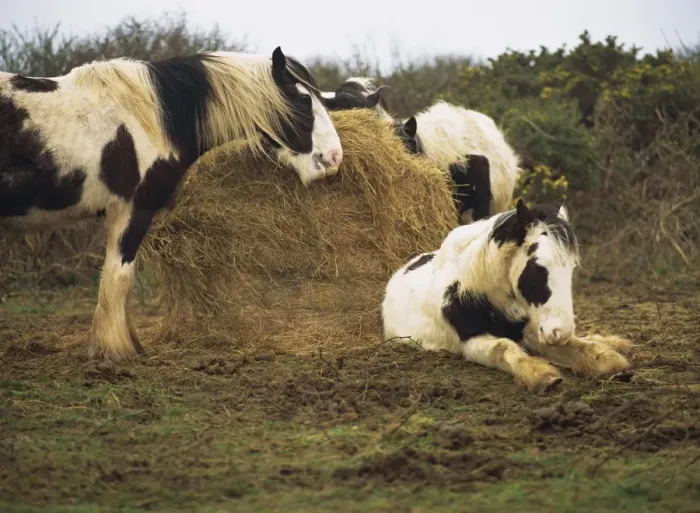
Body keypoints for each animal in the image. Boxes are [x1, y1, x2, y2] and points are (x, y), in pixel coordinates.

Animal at [0, 46, 343, 362]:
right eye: (304, 101)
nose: (334, 158)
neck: (149, 118)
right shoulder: (132, 209)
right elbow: (118, 276)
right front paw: (115, 350)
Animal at [381, 199, 633, 393]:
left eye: (571, 268)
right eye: (537, 267)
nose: (559, 332)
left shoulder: (530, 331)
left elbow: (578, 345)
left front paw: (611, 362)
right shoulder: (471, 342)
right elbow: (503, 348)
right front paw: (541, 375)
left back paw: (616, 342)